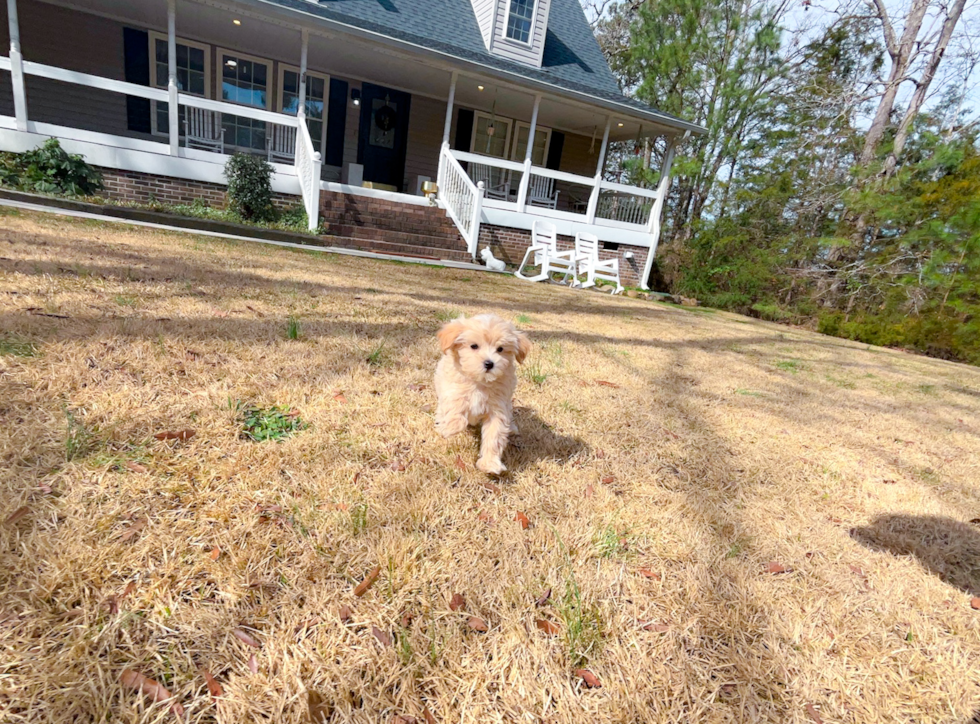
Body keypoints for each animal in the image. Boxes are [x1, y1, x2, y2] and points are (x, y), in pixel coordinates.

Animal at [434, 316, 532, 476]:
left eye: (500, 349)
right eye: (474, 346)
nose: (489, 363)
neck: (480, 382)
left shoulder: (497, 409)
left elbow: (494, 436)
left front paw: (489, 463)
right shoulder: (452, 389)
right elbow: (456, 408)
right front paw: (449, 428)